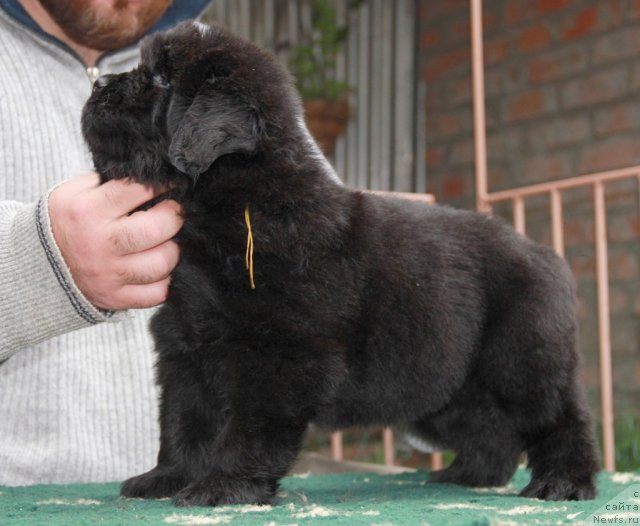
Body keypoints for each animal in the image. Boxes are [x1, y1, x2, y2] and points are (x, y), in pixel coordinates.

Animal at [81, 22, 600, 510]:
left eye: (160, 79)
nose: (98, 82)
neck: (236, 206)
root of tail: (544, 252)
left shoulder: (279, 358)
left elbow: (247, 429)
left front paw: (224, 486)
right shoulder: (185, 352)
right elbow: (183, 422)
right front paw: (167, 478)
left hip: (523, 360)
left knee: (561, 417)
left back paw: (563, 482)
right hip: (445, 385)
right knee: (491, 431)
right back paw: (466, 474)